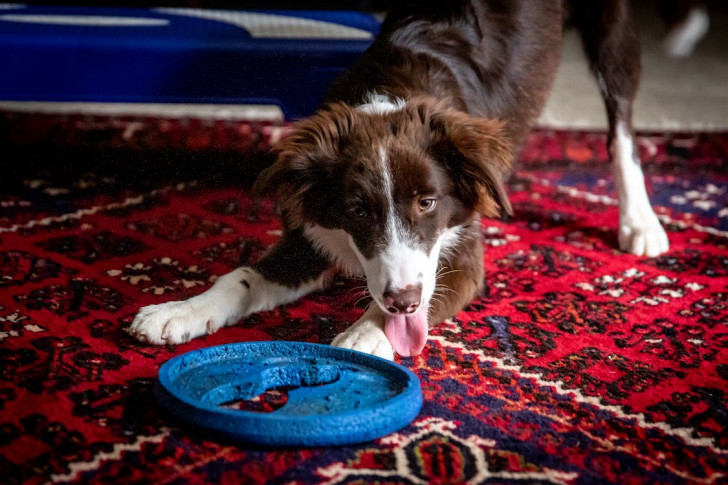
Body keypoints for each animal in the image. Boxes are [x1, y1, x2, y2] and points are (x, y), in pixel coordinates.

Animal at [128, 0, 668, 360]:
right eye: (357, 210)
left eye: (427, 202)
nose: (402, 300)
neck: (390, 98)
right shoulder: (314, 235)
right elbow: (240, 276)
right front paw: (180, 310)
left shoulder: (462, 257)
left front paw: (365, 334)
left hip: (614, 30)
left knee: (621, 126)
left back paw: (640, 221)